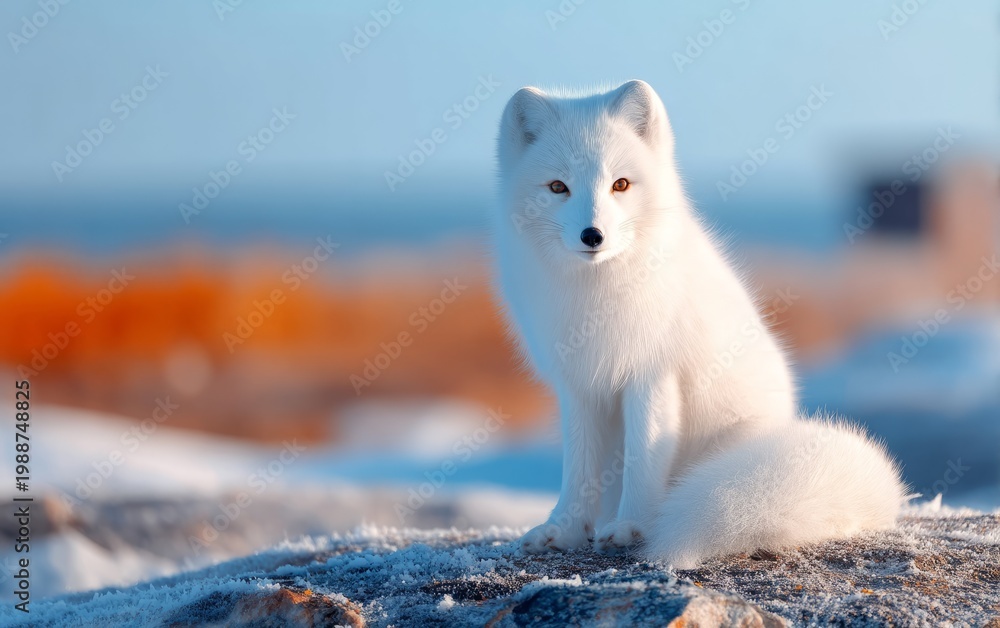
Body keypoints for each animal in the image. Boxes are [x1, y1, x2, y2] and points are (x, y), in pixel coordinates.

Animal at [493, 79, 905, 568]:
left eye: (620, 184)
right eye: (558, 187)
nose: (592, 236)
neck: (595, 295)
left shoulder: (652, 374)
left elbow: (644, 460)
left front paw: (631, 528)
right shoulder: (579, 384)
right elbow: (578, 469)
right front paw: (564, 530)